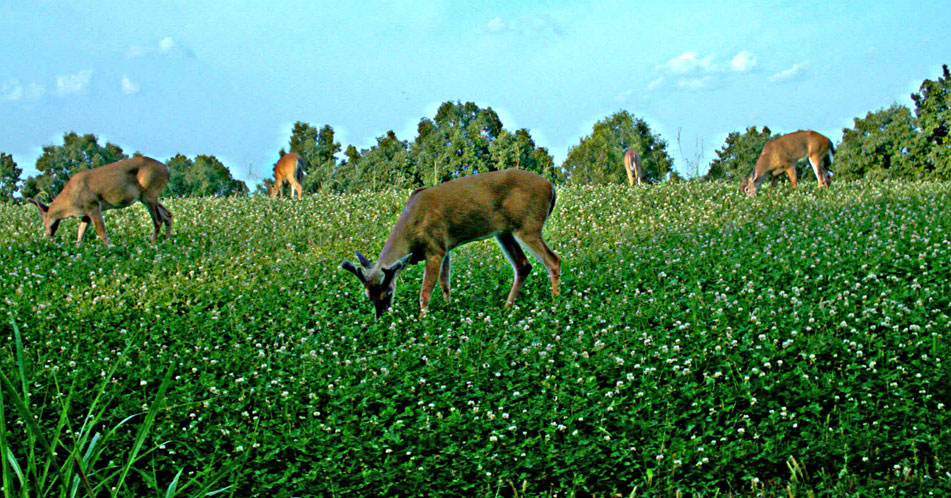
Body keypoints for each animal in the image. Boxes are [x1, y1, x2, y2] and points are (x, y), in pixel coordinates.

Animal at [27, 156, 173, 245]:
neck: (70, 200)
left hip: (149, 193)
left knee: (158, 220)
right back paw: (167, 242)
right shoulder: (85, 214)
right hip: (150, 196)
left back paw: (151, 244)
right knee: (168, 214)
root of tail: (167, 169)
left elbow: (101, 231)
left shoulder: (93, 205)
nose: (47, 235)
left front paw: (109, 248)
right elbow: (80, 234)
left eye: (43, 219)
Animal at [342, 168, 560, 320]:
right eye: (368, 296)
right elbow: (445, 284)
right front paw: (448, 310)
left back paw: (555, 302)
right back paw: (507, 307)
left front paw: (422, 320)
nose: (380, 319)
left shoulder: (434, 248)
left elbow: (425, 291)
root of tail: (551, 187)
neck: (412, 227)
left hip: (528, 225)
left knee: (553, 260)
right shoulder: (445, 248)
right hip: (505, 232)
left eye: (388, 293)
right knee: (523, 265)